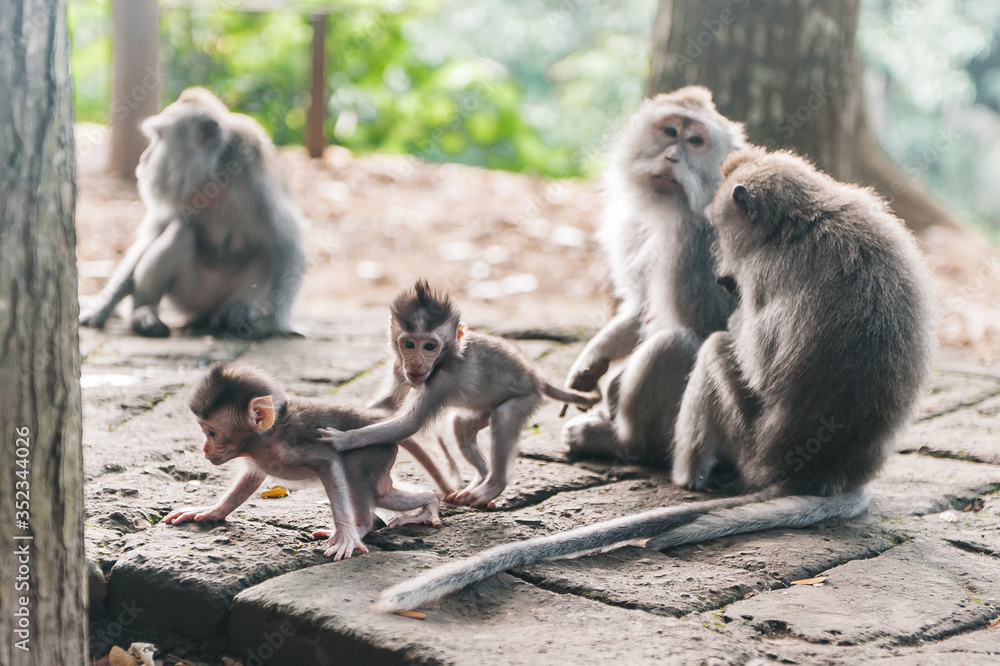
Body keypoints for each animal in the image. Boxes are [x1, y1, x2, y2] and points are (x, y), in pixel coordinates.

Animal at [79, 88, 306, 338]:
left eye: (158, 138)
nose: (144, 158)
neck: (214, 178)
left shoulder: (258, 185)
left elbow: (288, 246)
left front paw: (274, 324)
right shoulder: (180, 194)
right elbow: (151, 235)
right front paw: (102, 305)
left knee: (265, 253)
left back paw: (234, 315)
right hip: (188, 297)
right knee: (181, 231)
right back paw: (142, 313)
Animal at [163, 362, 449, 560]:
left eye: (211, 433)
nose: (204, 449)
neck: (267, 437)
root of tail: (379, 420)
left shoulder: (293, 448)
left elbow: (330, 463)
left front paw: (346, 533)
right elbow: (248, 481)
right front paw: (212, 511)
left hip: (376, 449)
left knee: (355, 474)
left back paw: (360, 526)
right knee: (382, 492)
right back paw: (430, 502)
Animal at [317, 281, 601, 508]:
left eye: (429, 346)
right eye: (409, 344)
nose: (416, 363)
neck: (443, 360)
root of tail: (536, 377)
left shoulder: (443, 380)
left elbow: (409, 424)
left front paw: (344, 439)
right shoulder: (400, 367)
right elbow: (388, 404)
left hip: (526, 398)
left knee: (504, 416)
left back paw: (492, 485)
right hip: (484, 407)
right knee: (461, 426)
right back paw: (480, 478)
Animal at [373, 146, 936, 612]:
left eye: (722, 234)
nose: (724, 275)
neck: (805, 219)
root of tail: (828, 472)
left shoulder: (768, 272)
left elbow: (750, 360)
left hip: (753, 446)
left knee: (711, 349)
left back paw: (676, 469)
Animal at [562, 86, 745, 466]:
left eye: (695, 141)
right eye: (670, 132)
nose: (672, 157)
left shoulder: (694, 246)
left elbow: (707, 327)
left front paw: (614, 385)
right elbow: (640, 305)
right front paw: (591, 362)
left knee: (675, 343)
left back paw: (623, 442)